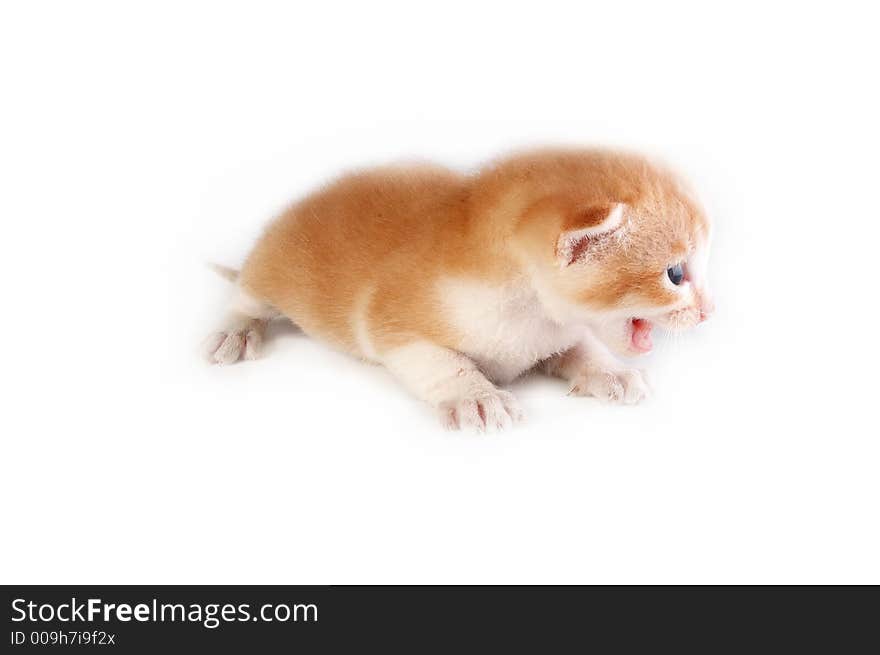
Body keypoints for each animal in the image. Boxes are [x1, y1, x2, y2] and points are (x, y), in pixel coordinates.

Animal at [206, 149, 716, 430]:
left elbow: (582, 348)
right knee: (246, 297)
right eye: (675, 274)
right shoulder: (394, 327)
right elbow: (443, 364)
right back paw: (234, 333)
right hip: (270, 271)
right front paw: (478, 398)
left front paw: (612, 373)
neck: (530, 312)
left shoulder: (554, 334)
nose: (710, 311)